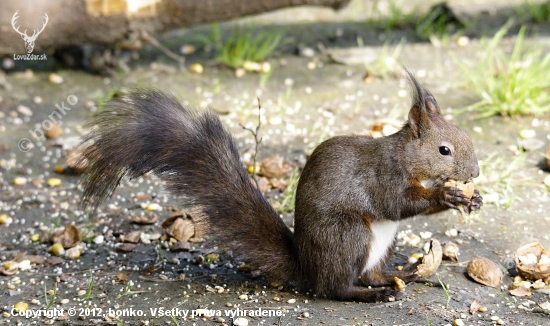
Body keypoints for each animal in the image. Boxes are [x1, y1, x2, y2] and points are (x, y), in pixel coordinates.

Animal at [80, 69, 486, 304]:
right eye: (444, 150)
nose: (476, 173)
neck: (406, 157)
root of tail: (306, 264)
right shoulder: (383, 176)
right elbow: (397, 205)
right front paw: (447, 194)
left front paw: (474, 199)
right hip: (348, 234)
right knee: (335, 288)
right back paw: (372, 295)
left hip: (381, 243)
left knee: (368, 273)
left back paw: (398, 275)